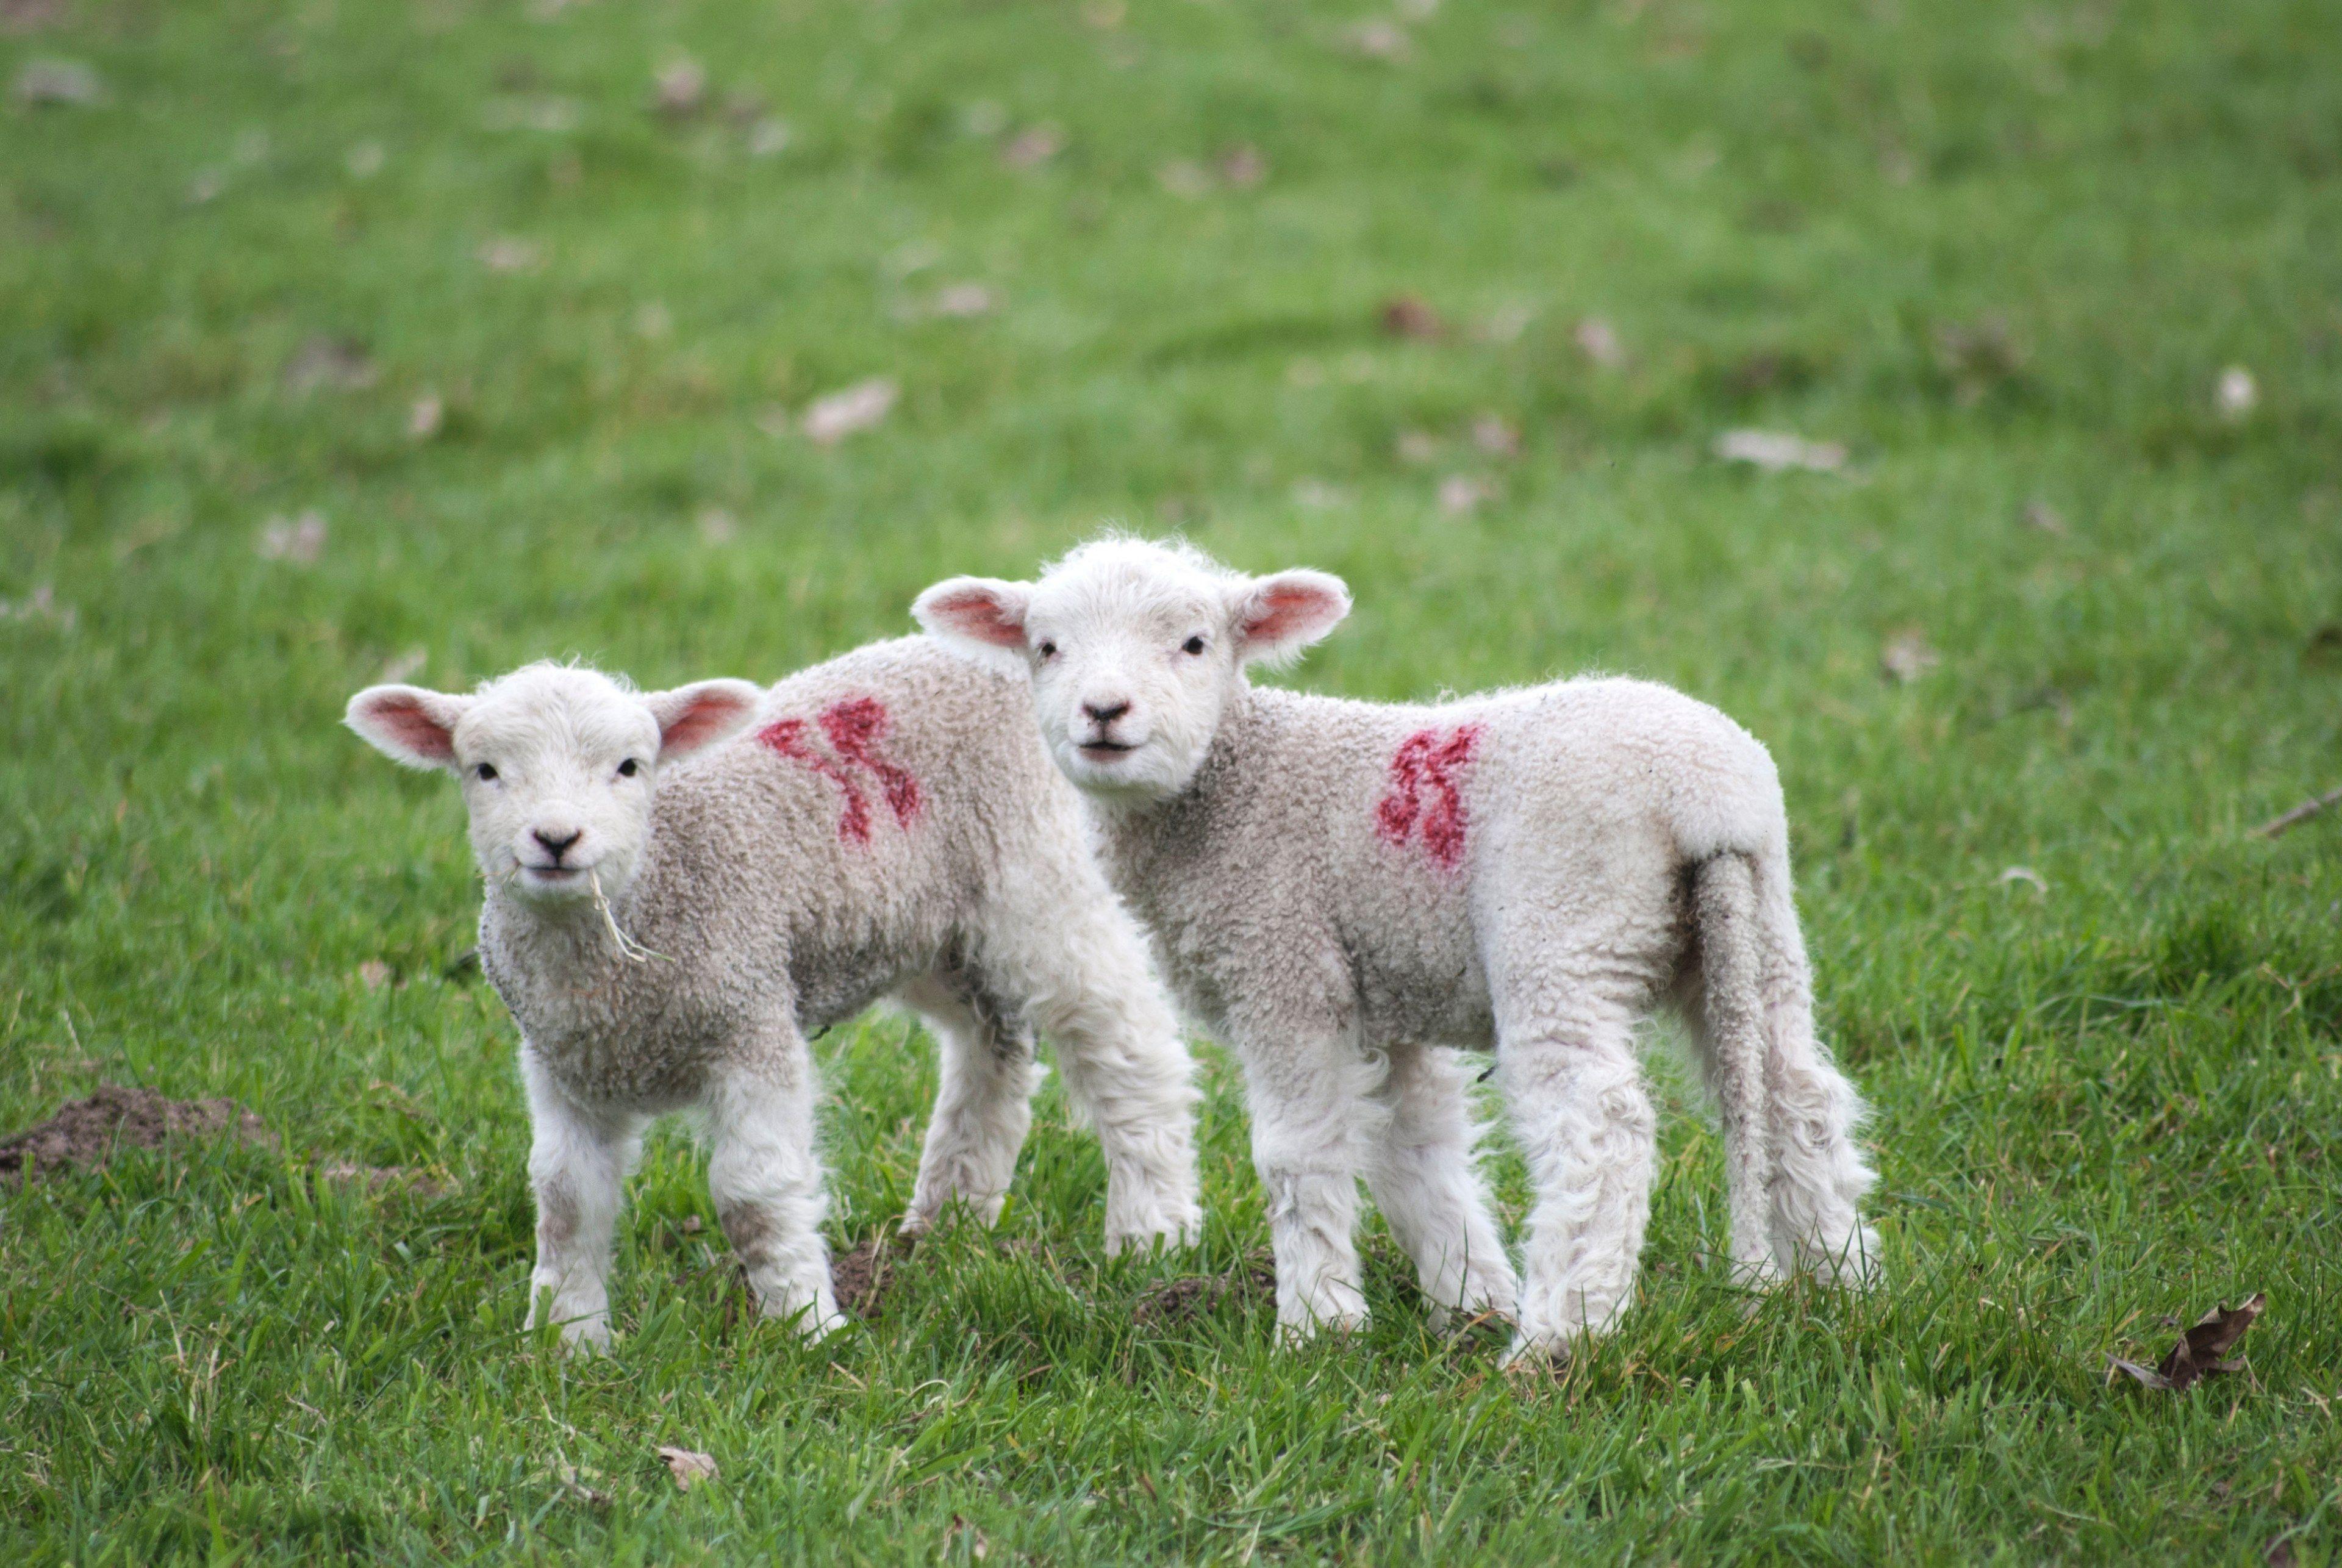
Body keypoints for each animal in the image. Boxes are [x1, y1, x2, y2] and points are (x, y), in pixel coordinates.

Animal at [345, 640, 1202, 1349]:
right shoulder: (564, 1067)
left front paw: (807, 1328)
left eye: (630, 767)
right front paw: (568, 1346)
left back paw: (1152, 1235)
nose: (557, 840)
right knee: (992, 1048)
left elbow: (753, 1197)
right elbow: (565, 1202)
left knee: (1130, 1051)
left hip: (1043, 876)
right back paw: (946, 1224)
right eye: (484, 771)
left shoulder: (749, 1020)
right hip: (930, 929)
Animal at [915, 538, 1879, 1361]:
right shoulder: (1387, 997)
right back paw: (1846, 1287)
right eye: (1045, 648)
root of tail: (1707, 796)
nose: (1104, 713)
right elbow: (1415, 1152)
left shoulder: (1285, 966)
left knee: (1601, 1128)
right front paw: (1469, 1297)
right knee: (1797, 1095)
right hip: (1753, 930)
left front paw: (1318, 1326)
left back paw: (1560, 1339)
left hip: (1562, 927)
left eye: (1194, 643)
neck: (1235, 787)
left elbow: (1298, 1151)